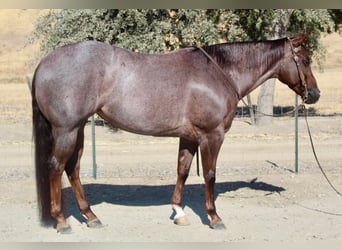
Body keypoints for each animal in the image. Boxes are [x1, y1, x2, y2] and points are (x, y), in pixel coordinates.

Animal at [32, 34, 320, 233]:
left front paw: (179, 212)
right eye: (306, 60)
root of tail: (45, 62)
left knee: (73, 169)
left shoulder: (189, 137)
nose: (314, 94)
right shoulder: (212, 136)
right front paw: (214, 217)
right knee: (56, 167)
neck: (219, 72)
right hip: (67, 130)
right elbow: (210, 174)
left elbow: (182, 170)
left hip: (78, 129)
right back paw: (62, 221)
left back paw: (91, 217)